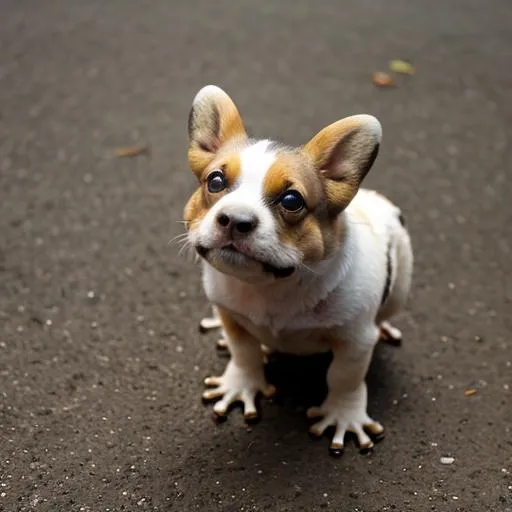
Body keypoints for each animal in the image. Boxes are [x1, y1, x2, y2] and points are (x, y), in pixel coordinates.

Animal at [183, 85, 412, 456]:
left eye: (292, 201)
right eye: (215, 181)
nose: (234, 219)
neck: (270, 286)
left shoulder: (355, 341)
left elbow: (345, 378)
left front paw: (344, 415)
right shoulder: (234, 316)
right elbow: (244, 352)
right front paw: (241, 383)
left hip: (401, 279)